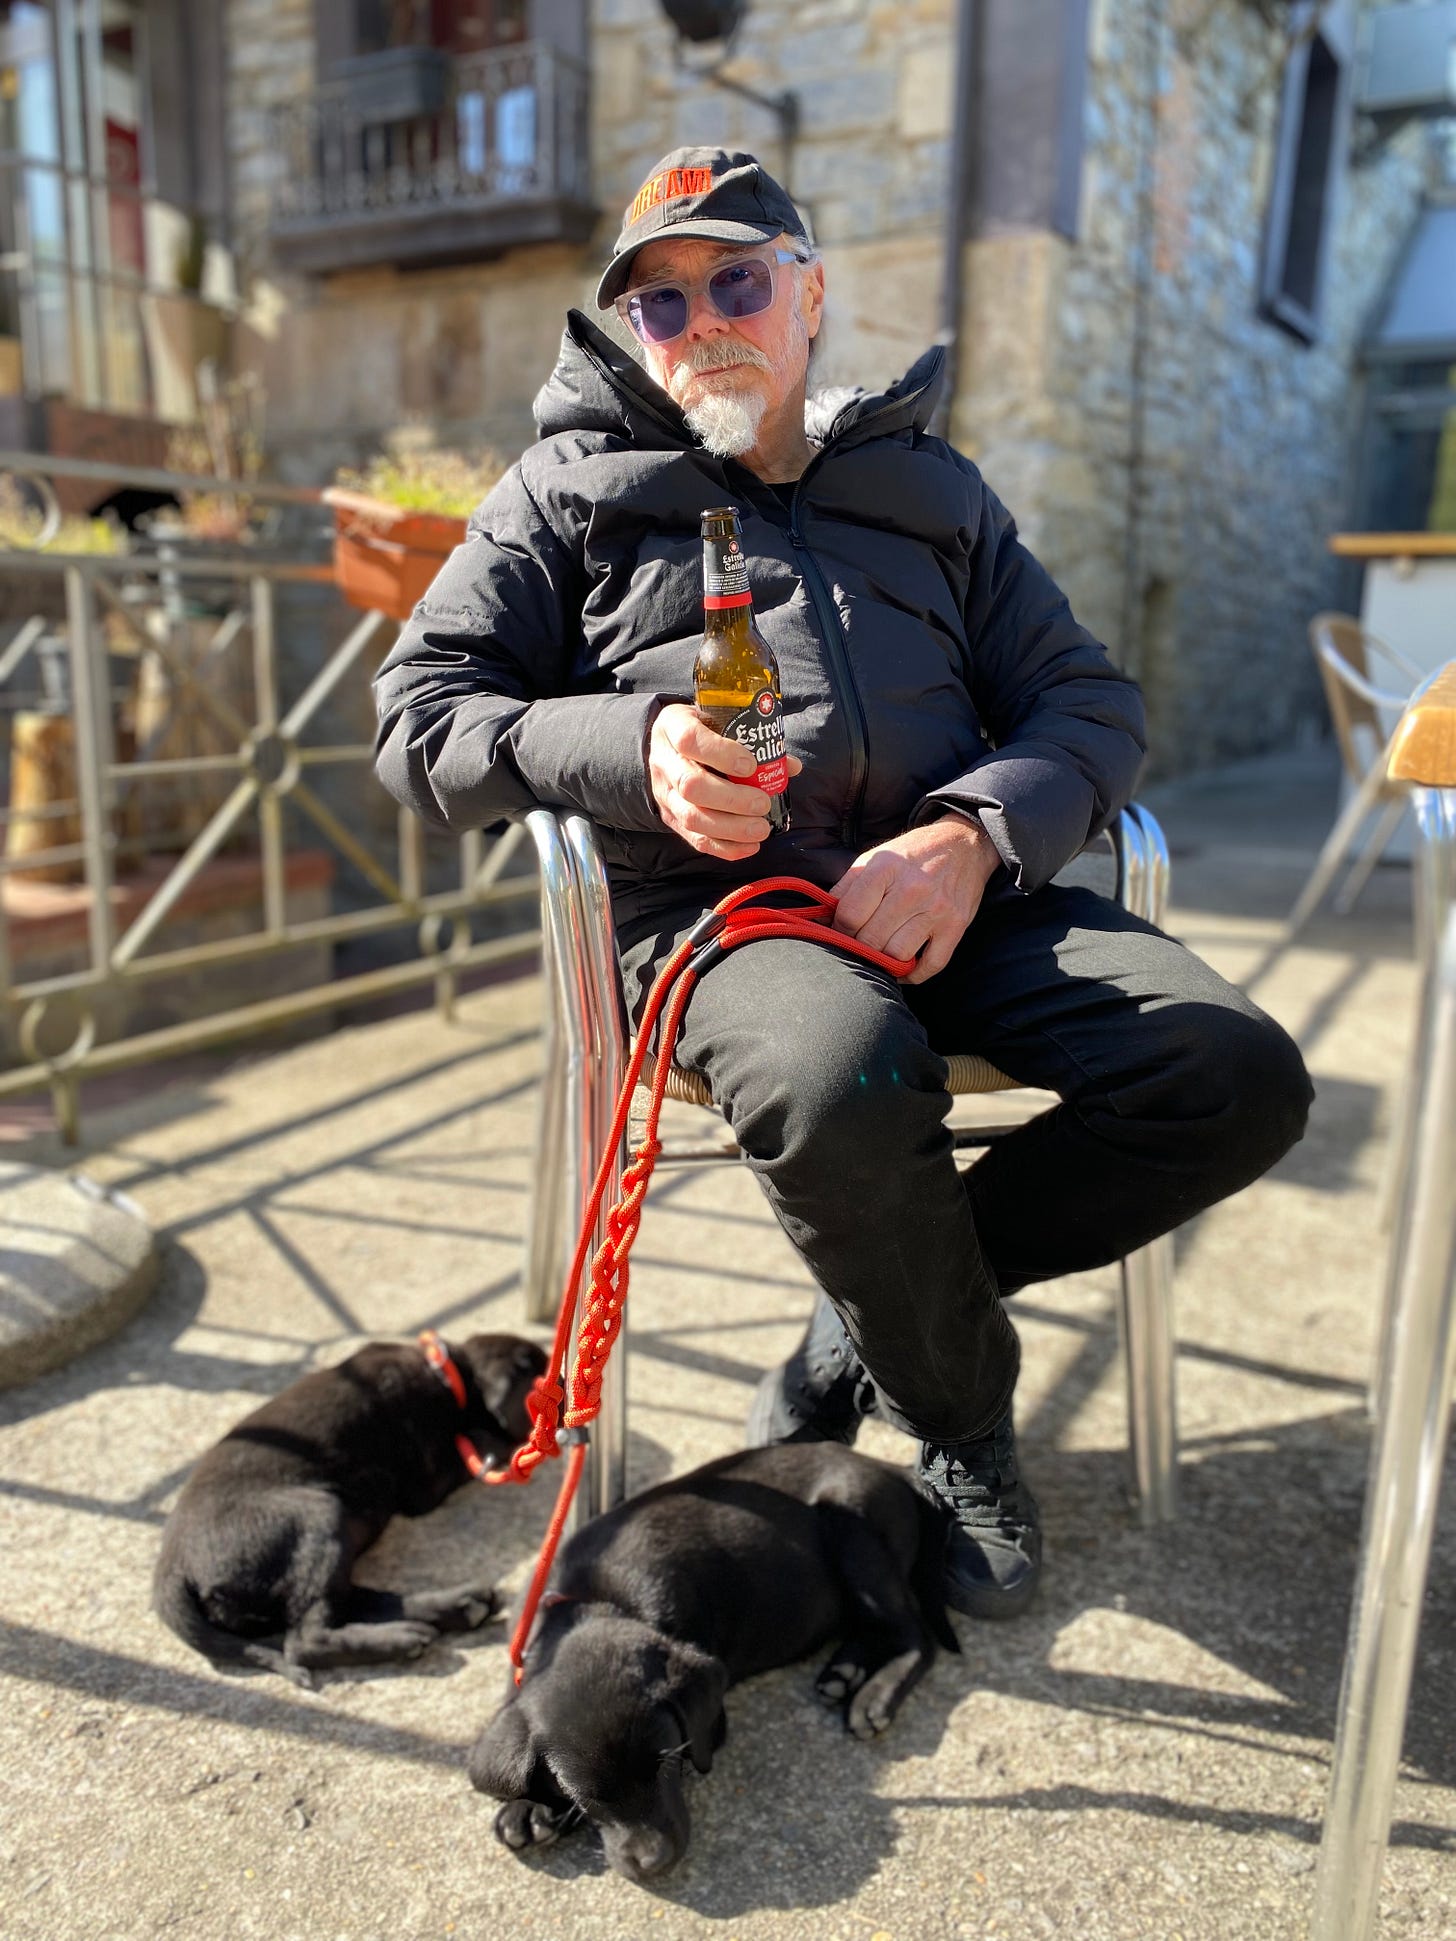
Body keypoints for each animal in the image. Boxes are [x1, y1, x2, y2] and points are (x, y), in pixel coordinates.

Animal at [152, 1335, 547, 1684]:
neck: (447, 1373)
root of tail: (172, 1571)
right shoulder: (427, 1483)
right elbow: (480, 1445)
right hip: (321, 1514)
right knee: (305, 1640)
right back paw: (405, 1636)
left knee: (348, 1602)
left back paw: (457, 1606)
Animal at [467, 1444, 962, 1878]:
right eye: (587, 1799)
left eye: (668, 1763)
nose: (654, 1863)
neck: (597, 1599)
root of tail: (890, 1467)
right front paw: (528, 1805)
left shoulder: (712, 1718)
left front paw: (533, 1808)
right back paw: (845, 1672)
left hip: (854, 1526)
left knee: (915, 1636)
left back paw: (873, 1696)